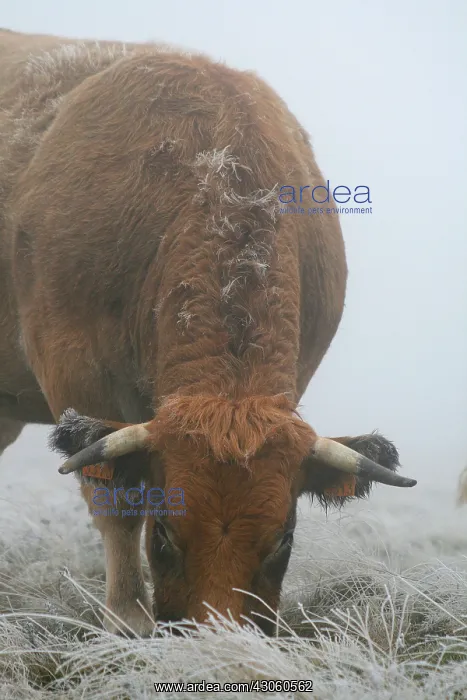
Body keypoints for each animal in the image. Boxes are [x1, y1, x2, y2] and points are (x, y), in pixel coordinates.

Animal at [0, 29, 417, 637]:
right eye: (165, 534)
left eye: (283, 539)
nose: (216, 637)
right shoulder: (76, 376)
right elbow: (115, 503)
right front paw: (128, 618)